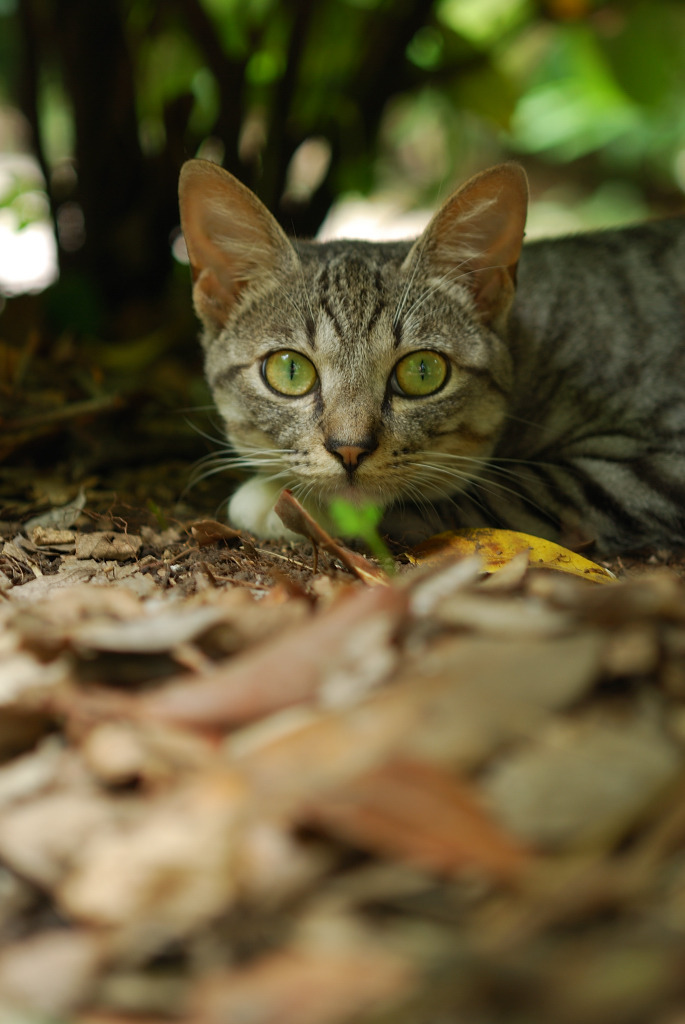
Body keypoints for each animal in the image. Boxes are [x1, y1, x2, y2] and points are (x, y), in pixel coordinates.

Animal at [179, 157, 683, 552]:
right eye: (289, 370)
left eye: (423, 371)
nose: (349, 448)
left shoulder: (653, 466)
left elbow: (493, 491)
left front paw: (281, 505)